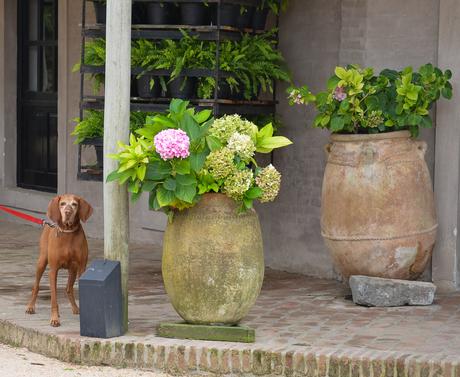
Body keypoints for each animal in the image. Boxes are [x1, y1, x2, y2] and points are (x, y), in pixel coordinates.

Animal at [25, 194, 93, 326]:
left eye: (74, 204)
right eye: (62, 204)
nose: (68, 212)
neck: (68, 232)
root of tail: (49, 224)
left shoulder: (81, 268)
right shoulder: (53, 270)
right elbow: (54, 298)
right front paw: (55, 318)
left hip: (73, 269)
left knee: (68, 288)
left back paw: (75, 308)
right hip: (41, 262)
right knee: (36, 287)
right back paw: (30, 307)